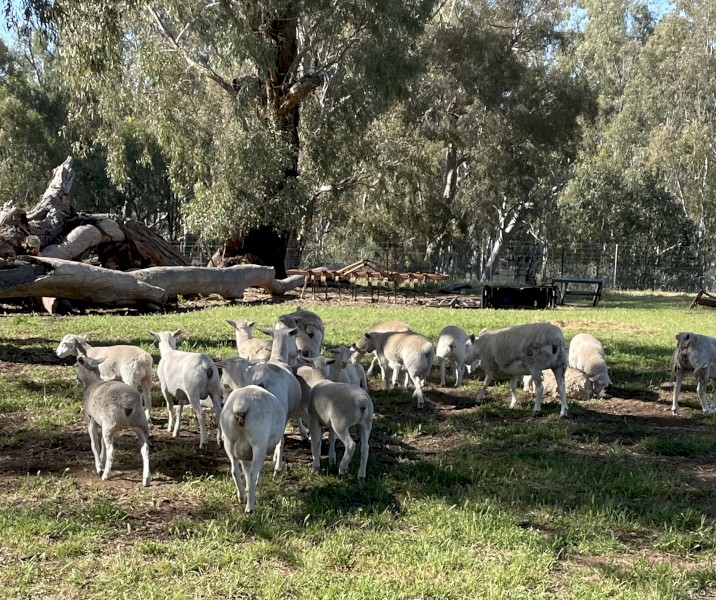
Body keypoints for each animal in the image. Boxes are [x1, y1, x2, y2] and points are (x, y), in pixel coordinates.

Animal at [75, 354, 150, 486]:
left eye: (77, 365)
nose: (76, 378)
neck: (92, 382)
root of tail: (129, 404)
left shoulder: (90, 420)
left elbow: (95, 444)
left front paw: (99, 467)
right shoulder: (104, 424)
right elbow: (102, 444)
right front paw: (102, 460)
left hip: (111, 423)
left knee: (112, 450)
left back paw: (106, 475)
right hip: (139, 423)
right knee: (145, 449)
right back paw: (146, 479)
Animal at [220, 384, 287, 513]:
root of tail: (241, 403)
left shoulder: (244, 454)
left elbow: (245, 470)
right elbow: (255, 469)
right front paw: (258, 482)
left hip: (229, 441)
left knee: (234, 470)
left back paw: (242, 496)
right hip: (258, 443)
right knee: (252, 472)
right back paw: (250, 508)